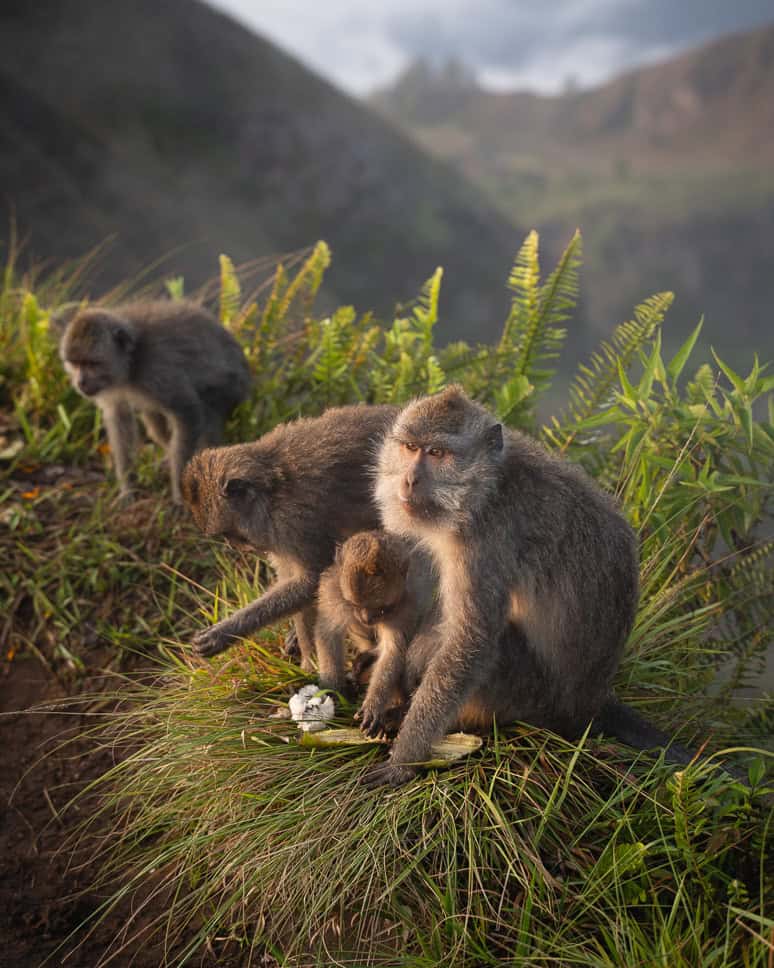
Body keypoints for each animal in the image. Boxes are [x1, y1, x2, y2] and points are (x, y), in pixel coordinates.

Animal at [58, 298, 252, 502]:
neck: (132, 361)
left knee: (207, 411)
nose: (80, 382)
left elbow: (187, 411)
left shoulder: (157, 368)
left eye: (91, 363)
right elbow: (119, 419)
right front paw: (127, 487)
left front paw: (180, 491)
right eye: (75, 363)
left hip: (230, 389)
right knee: (154, 421)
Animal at [183, 400, 400, 664]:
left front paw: (225, 632)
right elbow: (294, 580)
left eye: (230, 533)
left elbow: (310, 580)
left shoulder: (291, 522)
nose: (235, 546)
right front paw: (306, 655)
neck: (270, 490)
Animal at [314, 528, 436, 732]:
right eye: (355, 604)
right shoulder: (331, 590)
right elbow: (328, 632)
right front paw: (334, 689)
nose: (366, 619)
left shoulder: (403, 609)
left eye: (381, 608)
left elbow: (392, 651)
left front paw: (374, 705)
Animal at [370, 384, 644, 788]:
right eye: (409, 447)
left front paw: (405, 760)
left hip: (527, 695)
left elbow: (471, 642)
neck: (484, 491)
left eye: (437, 453)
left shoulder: (485, 543)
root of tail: (590, 705)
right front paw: (379, 691)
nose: (408, 480)